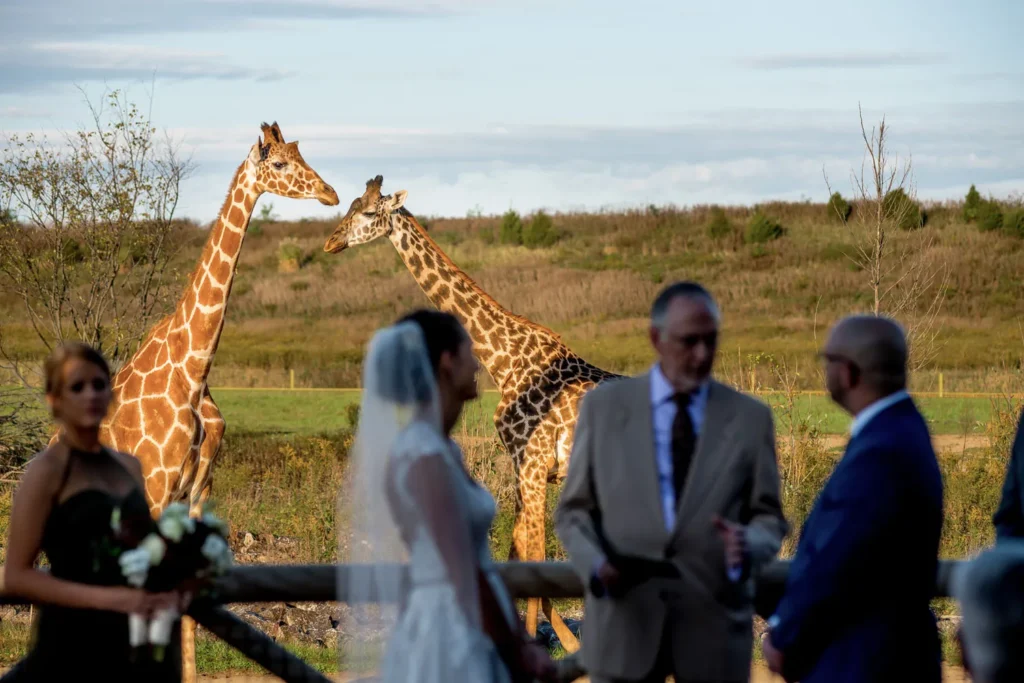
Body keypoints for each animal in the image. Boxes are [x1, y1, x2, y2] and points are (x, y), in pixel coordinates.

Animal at [102, 122, 337, 683]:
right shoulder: (155, 488)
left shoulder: (197, 491)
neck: (194, 369)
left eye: (301, 154)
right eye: (279, 163)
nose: (330, 193)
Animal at [323, 174, 618, 651]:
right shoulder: (523, 466)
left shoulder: (533, 463)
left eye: (367, 212)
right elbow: (519, 550)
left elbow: (532, 551)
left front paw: (546, 641)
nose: (331, 241)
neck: (503, 359)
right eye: (348, 205)